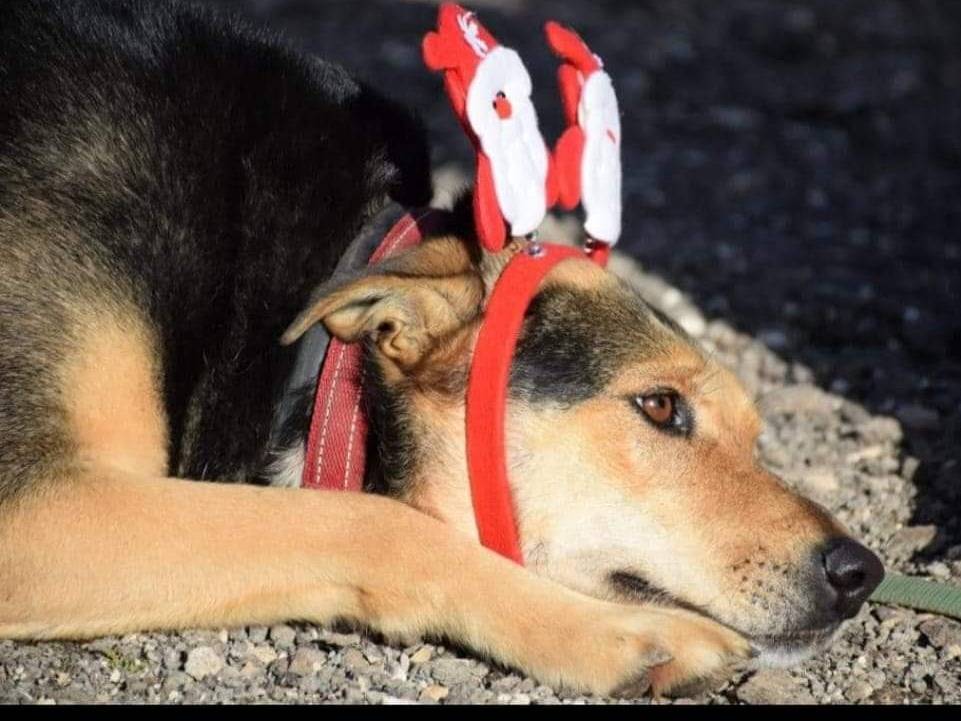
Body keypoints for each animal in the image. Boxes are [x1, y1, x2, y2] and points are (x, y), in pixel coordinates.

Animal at [0, 0, 884, 697]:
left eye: (755, 435)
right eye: (659, 406)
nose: (860, 573)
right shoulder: (31, 506)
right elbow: (373, 522)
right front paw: (620, 633)